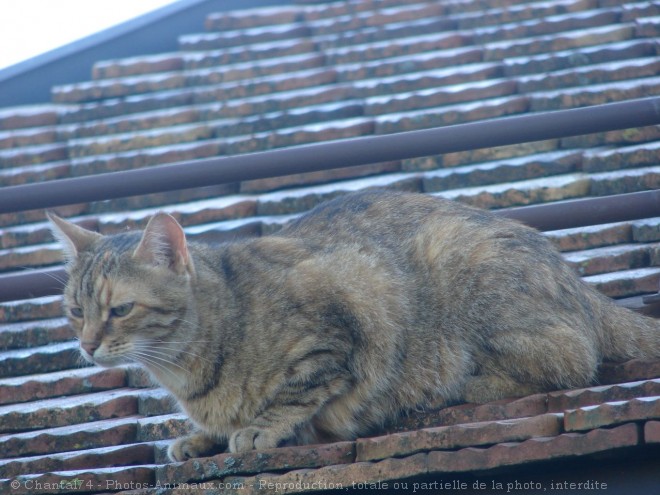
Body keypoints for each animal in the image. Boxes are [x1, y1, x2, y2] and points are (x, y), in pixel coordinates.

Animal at [47, 190, 660, 462]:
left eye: (119, 309)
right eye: (75, 311)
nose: (88, 345)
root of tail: (580, 283)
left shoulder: (344, 316)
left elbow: (299, 389)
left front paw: (259, 427)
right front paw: (201, 437)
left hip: (468, 269)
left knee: (571, 358)